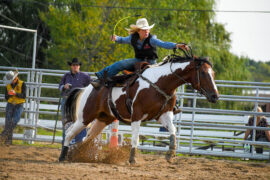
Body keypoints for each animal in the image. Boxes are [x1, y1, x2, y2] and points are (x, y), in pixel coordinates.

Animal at [58, 52, 219, 163]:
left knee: (88, 138)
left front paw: (170, 154)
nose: (215, 96)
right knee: (70, 133)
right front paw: (132, 159)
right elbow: (135, 138)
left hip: (103, 119)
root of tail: (86, 88)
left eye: (213, 73)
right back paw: (63, 156)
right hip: (84, 117)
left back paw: (81, 156)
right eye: (203, 73)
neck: (160, 83)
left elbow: (173, 131)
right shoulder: (137, 116)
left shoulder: (164, 115)